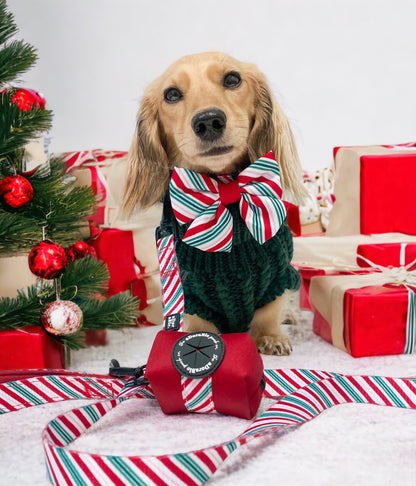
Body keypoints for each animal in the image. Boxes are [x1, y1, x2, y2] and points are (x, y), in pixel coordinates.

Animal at [123, 52, 306, 356]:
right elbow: (200, 324)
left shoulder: (278, 274)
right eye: (171, 94)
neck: (222, 191)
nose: (208, 121)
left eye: (232, 79)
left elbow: (269, 311)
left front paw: (270, 337)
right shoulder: (190, 292)